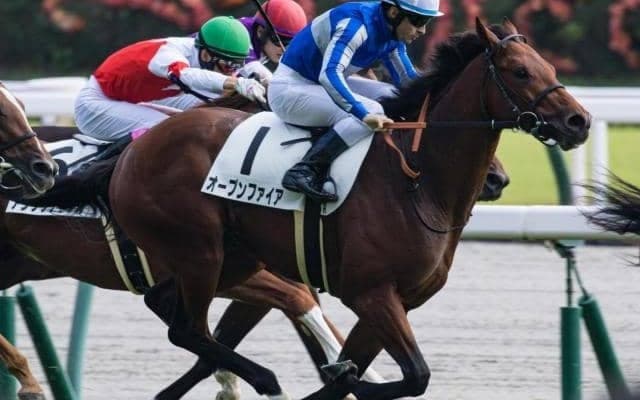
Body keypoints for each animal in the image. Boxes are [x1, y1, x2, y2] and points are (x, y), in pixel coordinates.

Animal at [21, 18, 590, 399]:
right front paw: (343, 375)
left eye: (548, 67)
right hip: (199, 251)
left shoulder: (395, 300)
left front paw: (341, 374)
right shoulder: (370, 291)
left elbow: (369, 371)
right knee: (187, 329)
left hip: (230, 258)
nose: (579, 122)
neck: (417, 180)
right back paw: (263, 378)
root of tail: (130, 153)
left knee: (173, 311)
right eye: (519, 72)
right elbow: (413, 375)